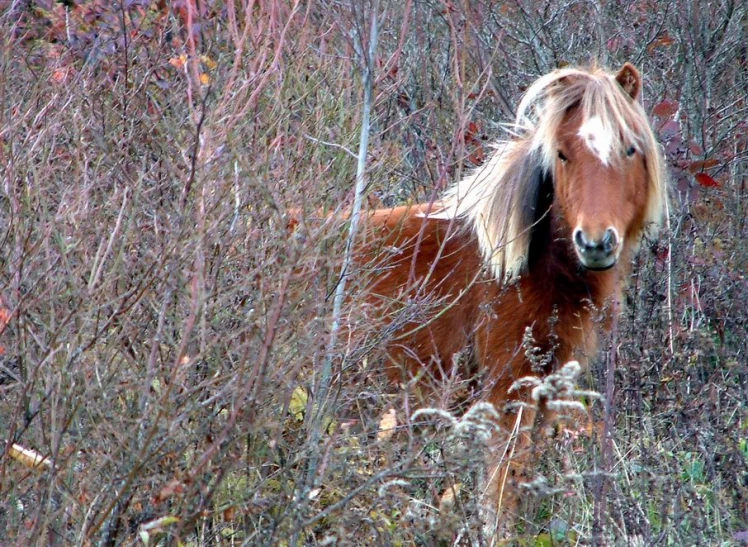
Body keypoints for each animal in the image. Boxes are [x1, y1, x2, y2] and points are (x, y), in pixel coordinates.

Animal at [356, 62, 668, 528]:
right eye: (562, 154)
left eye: (629, 150)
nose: (595, 243)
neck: (517, 263)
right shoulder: (507, 390)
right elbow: (500, 491)